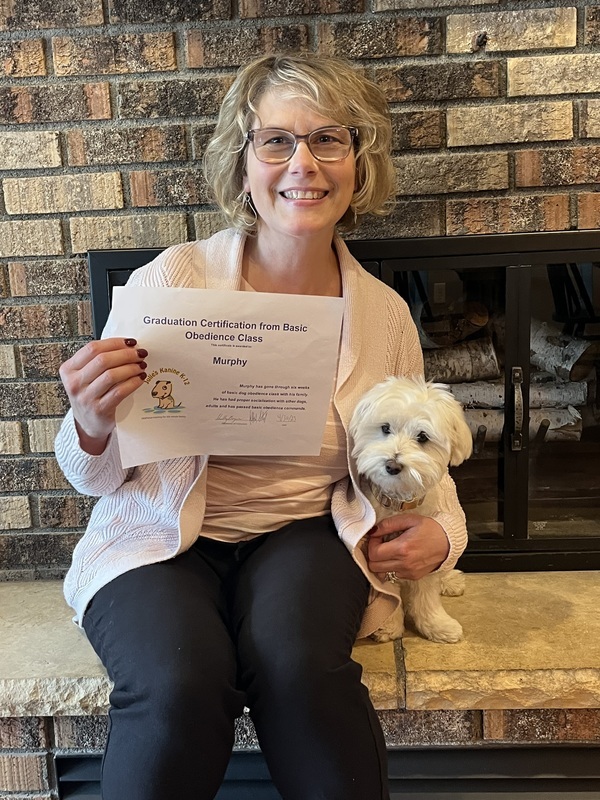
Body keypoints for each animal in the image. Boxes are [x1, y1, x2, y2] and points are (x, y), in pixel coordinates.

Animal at [349, 376, 473, 644]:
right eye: (385, 428)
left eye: (423, 437)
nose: (392, 465)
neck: (399, 504)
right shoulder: (374, 558)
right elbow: (387, 595)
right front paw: (387, 626)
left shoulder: (424, 551)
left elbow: (426, 596)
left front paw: (436, 625)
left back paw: (450, 580)